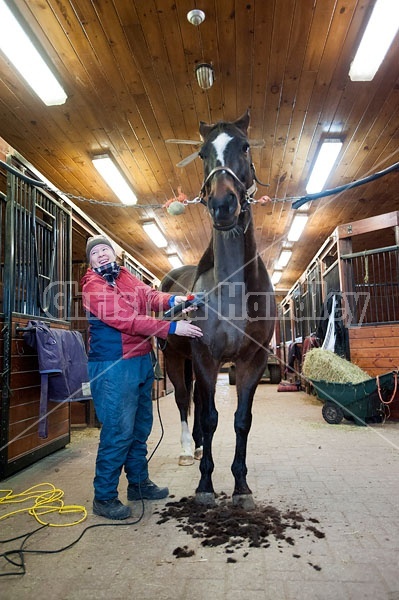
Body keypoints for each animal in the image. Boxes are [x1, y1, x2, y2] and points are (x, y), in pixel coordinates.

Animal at [161, 110, 276, 508]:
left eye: (244, 146)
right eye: (202, 153)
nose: (223, 205)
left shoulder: (251, 360)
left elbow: (242, 419)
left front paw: (241, 487)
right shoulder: (206, 356)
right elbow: (210, 418)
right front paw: (205, 485)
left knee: (195, 400)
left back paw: (197, 448)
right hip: (175, 359)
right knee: (185, 400)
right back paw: (186, 450)